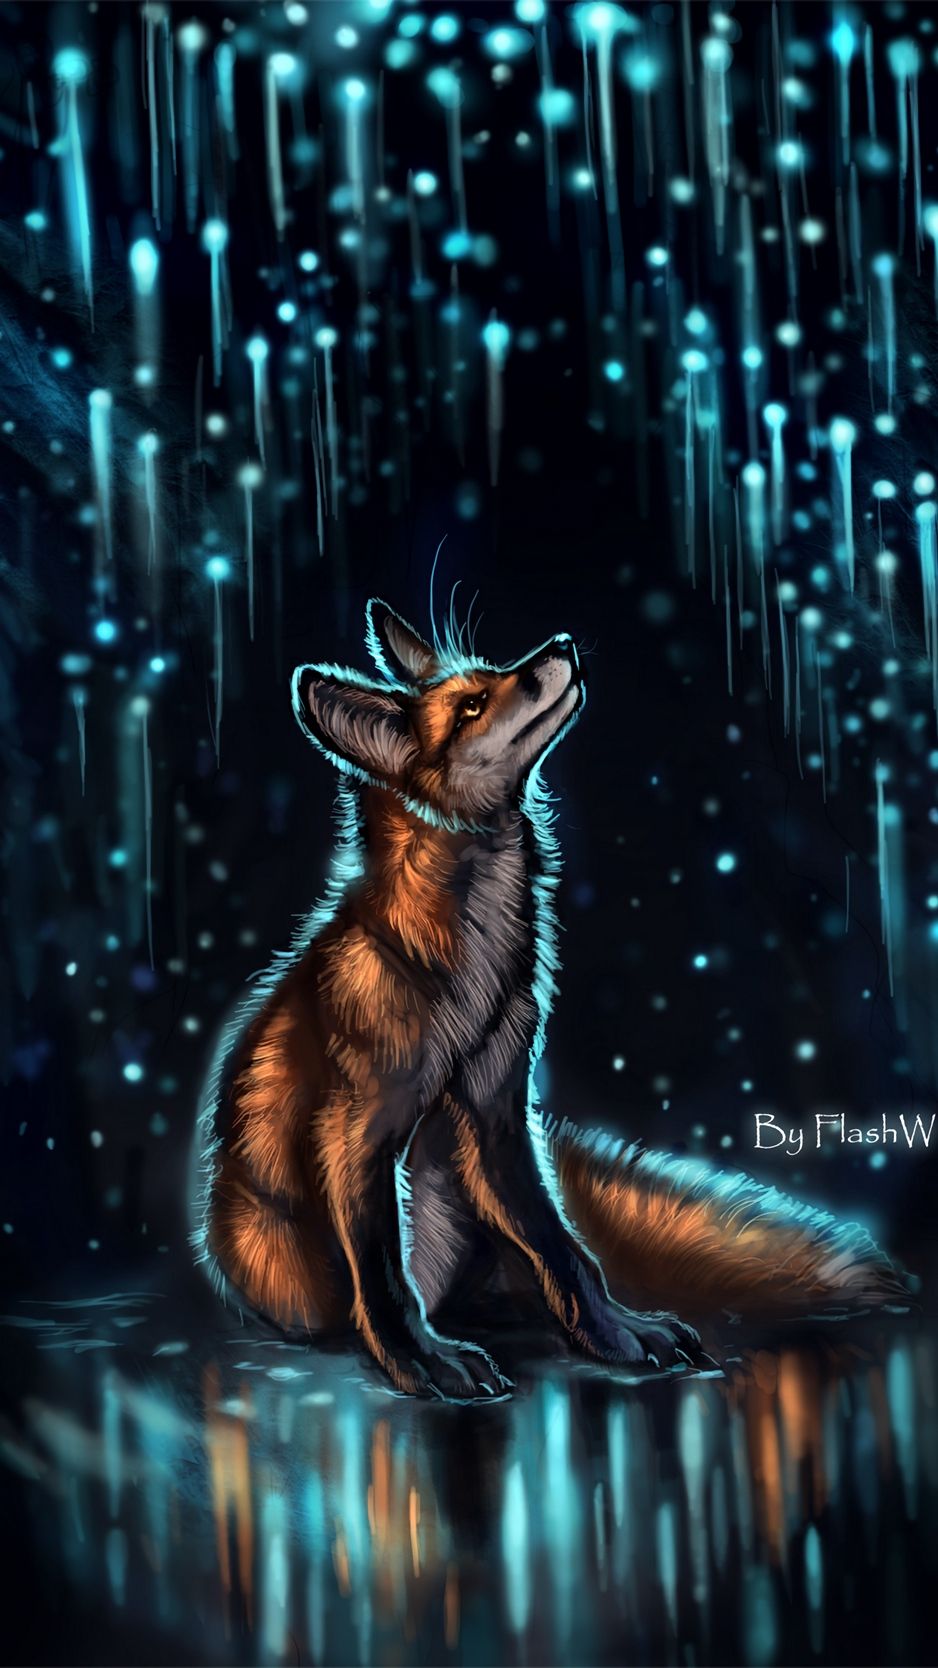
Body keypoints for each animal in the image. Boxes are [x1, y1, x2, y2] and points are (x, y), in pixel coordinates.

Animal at [191, 599, 908, 1399]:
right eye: (472, 706)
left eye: (490, 674)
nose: (562, 642)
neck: (467, 975)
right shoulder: (355, 1129)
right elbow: (381, 1275)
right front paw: (420, 1359)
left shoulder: (497, 1109)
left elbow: (564, 1249)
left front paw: (615, 1333)